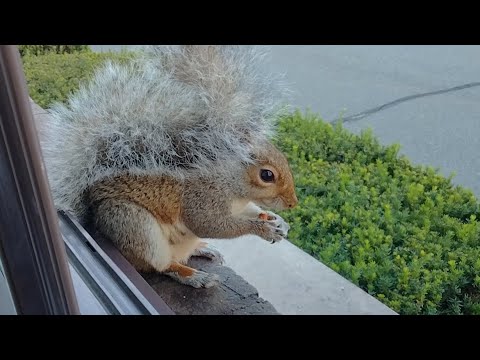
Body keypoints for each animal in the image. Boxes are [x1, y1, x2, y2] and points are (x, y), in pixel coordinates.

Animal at [40, 45, 296, 288]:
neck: (231, 185)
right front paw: (262, 229)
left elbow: (251, 210)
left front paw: (277, 220)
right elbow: (211, 225)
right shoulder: (200, 197)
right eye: (267, 175)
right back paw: (194, 276)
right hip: (133, 224)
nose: (293, 203)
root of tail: (95, 221)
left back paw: (204, 249)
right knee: (161, 266)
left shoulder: (239, 204)